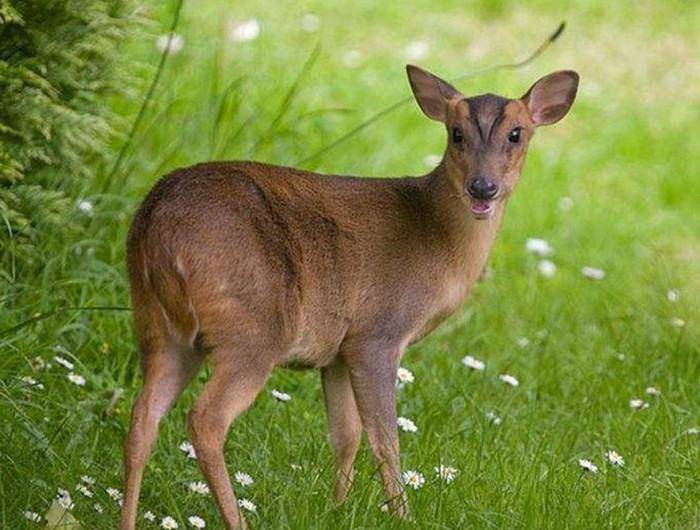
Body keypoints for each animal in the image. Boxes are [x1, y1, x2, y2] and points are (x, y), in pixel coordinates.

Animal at [121, 64, 580, 524]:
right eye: (456, 133)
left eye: (517, 134)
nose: (482, 188)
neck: (438, 239)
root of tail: (157, 226)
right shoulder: (378, 334)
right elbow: (385, 440)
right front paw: (402, 516)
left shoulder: (338, 351)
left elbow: (346, 435)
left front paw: (335, 508)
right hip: (253, 328)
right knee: (205, 419)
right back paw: (238, 520)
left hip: (158, 324)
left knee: (143, 417)